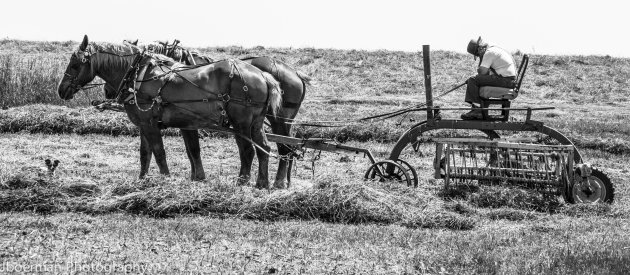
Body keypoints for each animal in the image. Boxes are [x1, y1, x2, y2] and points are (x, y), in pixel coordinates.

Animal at [58, 35, 282, 190]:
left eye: (75, 64)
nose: (61, 90)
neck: (137, 75)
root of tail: (263, 75)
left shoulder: (150, 123)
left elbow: (159, 152)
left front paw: (165, 179)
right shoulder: (144, 124)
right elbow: (145, 154)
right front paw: (142, 181)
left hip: (241, 122)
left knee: (248, 150)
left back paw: (242, 182)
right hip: (256, 123)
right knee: (264, 148)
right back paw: (262, 183)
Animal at [112, 39, 312, 190]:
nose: (110, 91)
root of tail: (294, 74)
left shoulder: (177, 123)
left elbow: (184, 149)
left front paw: (188, 177)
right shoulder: (183, 122)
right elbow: (187, 149)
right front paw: (195, 177)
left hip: (271, 120)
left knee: (278, 148)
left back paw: (273, 181)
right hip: (268, 121)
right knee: (277, 147)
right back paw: (274, 182)